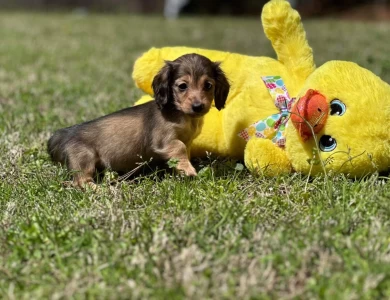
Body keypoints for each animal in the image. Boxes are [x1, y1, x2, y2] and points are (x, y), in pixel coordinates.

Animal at [47, 52, 230, 186]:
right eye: (182, 86)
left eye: (208, 85)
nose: (198, 106)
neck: (181, 114)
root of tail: (65, 133)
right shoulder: (164, 139)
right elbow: (179, 148)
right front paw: (188, 170)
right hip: (84, 160)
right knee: (81, 182)